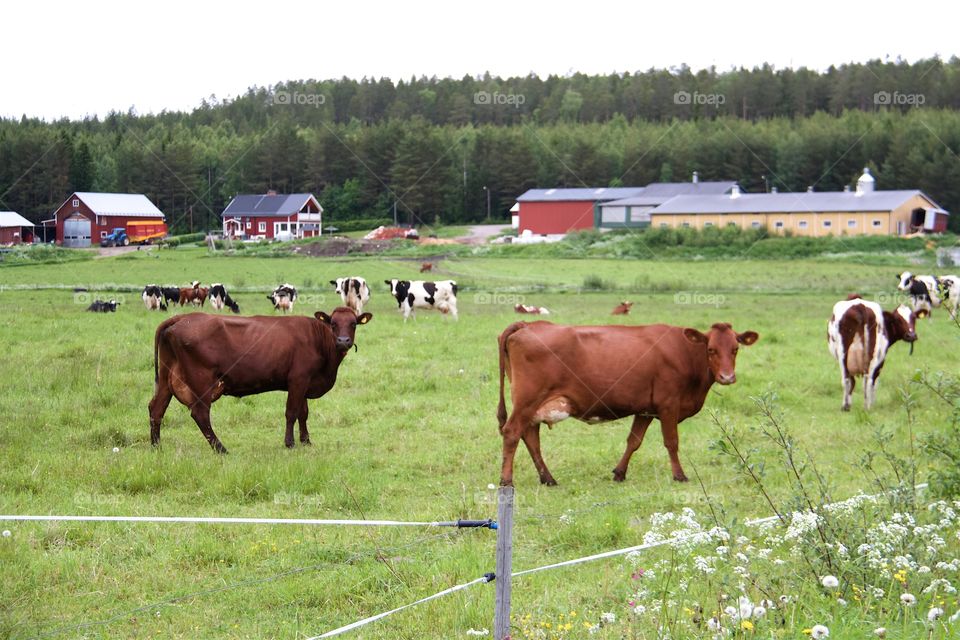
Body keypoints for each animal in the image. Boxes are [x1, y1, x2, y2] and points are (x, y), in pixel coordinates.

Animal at [149, 307, 373, 452]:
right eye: (333, 324)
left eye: (353, 324)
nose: (343, 341)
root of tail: (182, 317)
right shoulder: (298, 379)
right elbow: (292, 412)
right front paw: (290, 443)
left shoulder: (305, 382)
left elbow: (303, 413)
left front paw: (306, 441)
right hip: (201, 381)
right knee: (200, 414)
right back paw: (221, 449)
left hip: (167, 379)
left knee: (156, 408)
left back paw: (156, 446)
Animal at [496, 320, 759, 486]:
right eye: (711, 349)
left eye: (735, 349)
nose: (727, 377)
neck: (686, 352)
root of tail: (529, 324)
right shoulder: (668, 405)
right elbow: (671, 442)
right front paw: (679, 475)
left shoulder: (645, 410)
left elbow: (634, 441)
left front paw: (619, 473)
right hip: (528, 400)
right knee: (512, 432)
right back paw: (507, 480)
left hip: (533, 405)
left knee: (530, 437)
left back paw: (548, 479)